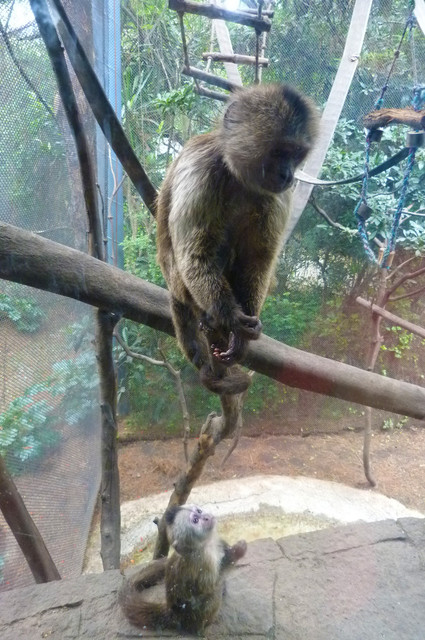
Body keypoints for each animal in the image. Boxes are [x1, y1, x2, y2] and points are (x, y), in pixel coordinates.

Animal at [119, 504, 247, 634]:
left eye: (199, 511)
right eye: (195, 520)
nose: (206, 517)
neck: (206, 545)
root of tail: (174, 615)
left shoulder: (217, 542)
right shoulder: (200, 560)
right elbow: (209, 586)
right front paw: (236, 553)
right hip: (196, 617)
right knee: (212, 595)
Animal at [156, 83, 319, 395]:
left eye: (296, 154)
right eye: (280, 151)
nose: (288, 175)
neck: (240, 180)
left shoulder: (278, 197)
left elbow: (257, 259)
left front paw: (243, 333)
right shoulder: (202, 170)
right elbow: (194, 256)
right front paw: (230, 316)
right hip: (180, 285)